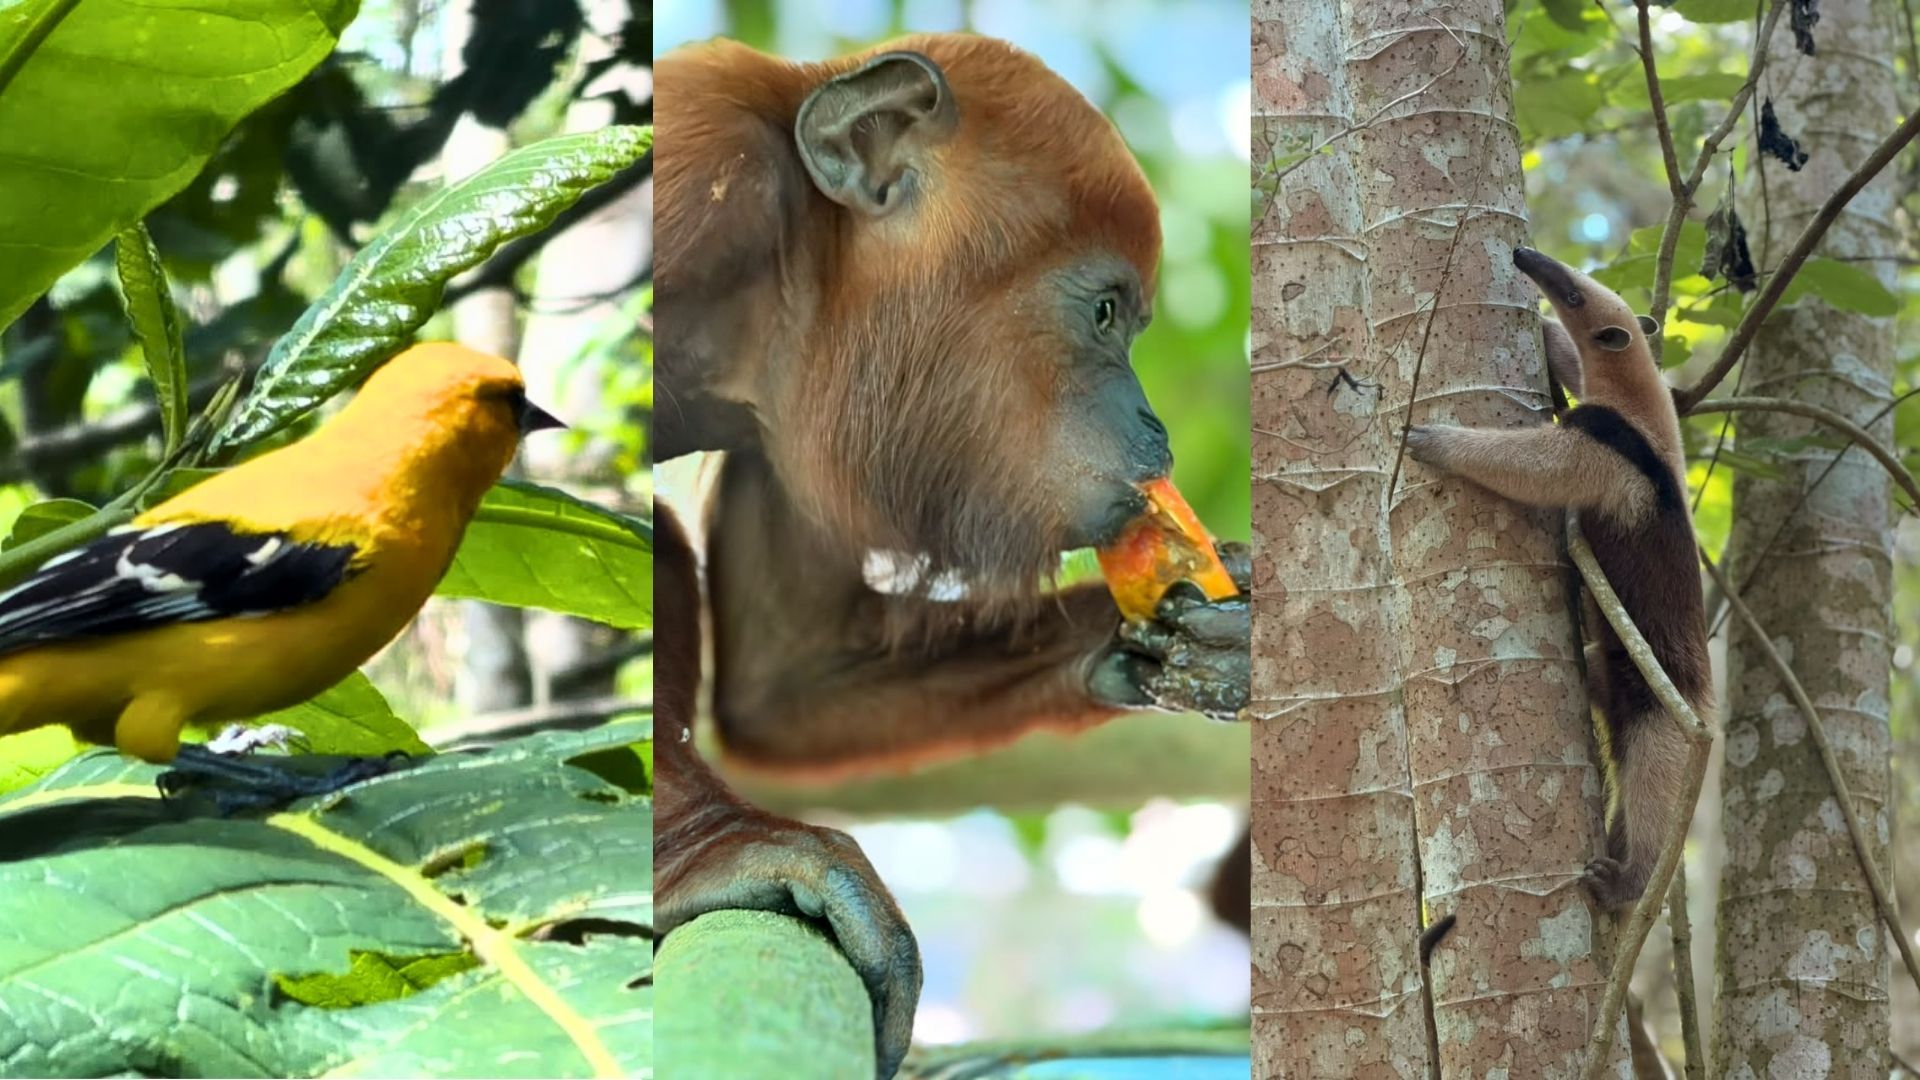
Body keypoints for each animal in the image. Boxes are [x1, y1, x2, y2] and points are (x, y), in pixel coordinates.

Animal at [653, 34, 1252, 1076]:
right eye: (1105, 313)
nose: (1156, 429)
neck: (784, 274)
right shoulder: (698, 185)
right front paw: (718, 852)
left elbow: (786, 692)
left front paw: (1207, 634)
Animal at [1404, 247, 1711, 914]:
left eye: (1576, 297)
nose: (1524, 257)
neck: (1639, 411)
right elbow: (1571, 367)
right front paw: (1548, 342)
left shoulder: (1604, 453)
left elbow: (1543, 466)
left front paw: (1432, 441)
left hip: (1666, 713)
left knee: (1653, 779)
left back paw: (1625, 881)